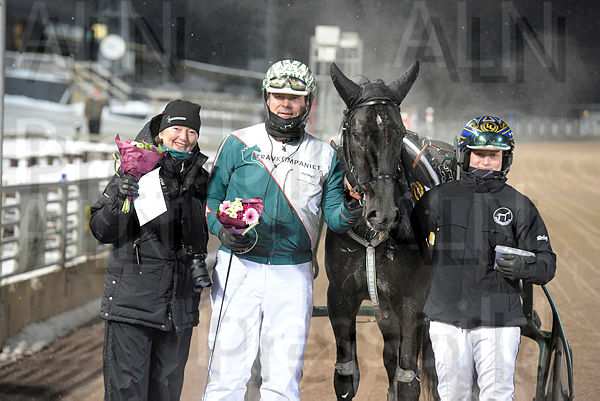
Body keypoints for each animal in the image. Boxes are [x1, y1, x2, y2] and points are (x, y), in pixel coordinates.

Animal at [324, 61, 443, 401]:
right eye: (357, 134)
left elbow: (409, 380)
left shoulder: (413, 300)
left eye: (399, 133)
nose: (384, 213)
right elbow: (346, 375)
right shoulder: (340, 295)